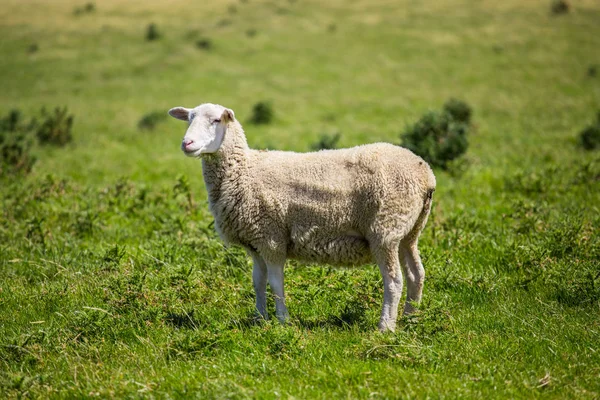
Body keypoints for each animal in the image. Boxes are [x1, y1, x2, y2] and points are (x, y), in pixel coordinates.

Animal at [169, 102, 436, 332]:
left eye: (216, 120)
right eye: (189, 118)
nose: (186, 143)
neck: (243, 170)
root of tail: (426, 174)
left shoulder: (271, 237)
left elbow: (276, 283)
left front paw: (282, 321)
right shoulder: (255, 243)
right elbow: (257, 282)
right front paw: (259, 320)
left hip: (385, 229)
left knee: (394, 280)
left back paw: (385, 327)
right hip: (408, 232)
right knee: (416, 275)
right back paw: (411, 319)